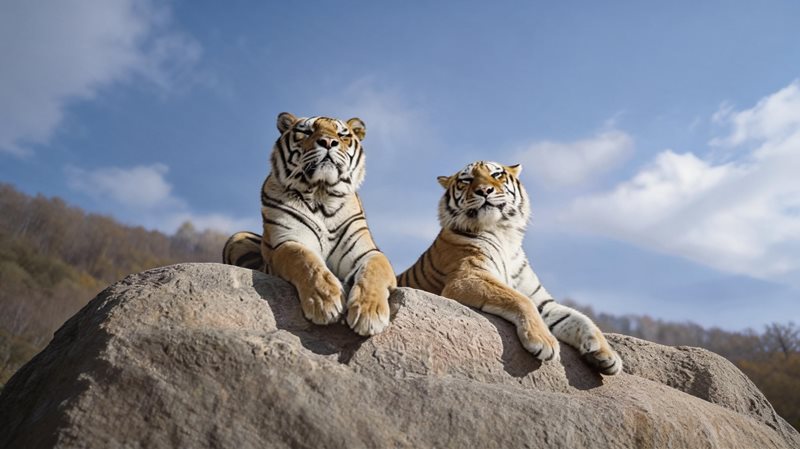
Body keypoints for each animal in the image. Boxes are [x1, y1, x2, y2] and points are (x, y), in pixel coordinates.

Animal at [223, 112, 395, 336]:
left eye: (342, 135)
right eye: (306, 131)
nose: (328, 142)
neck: (322, 195)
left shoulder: (367, 252)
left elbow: (375, 270)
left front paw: (370, 313)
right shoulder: (287, 242)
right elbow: (306, 261)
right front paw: (326, 303)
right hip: (237, 238)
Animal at [397, 161, 622, 375]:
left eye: (497, 175)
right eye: (467, 180)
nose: (484, 190)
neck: (505, 233)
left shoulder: (543, 302)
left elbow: (581, 319)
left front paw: (609, 356)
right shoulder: (466, 278)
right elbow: (520, 299)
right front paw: (543, 341)